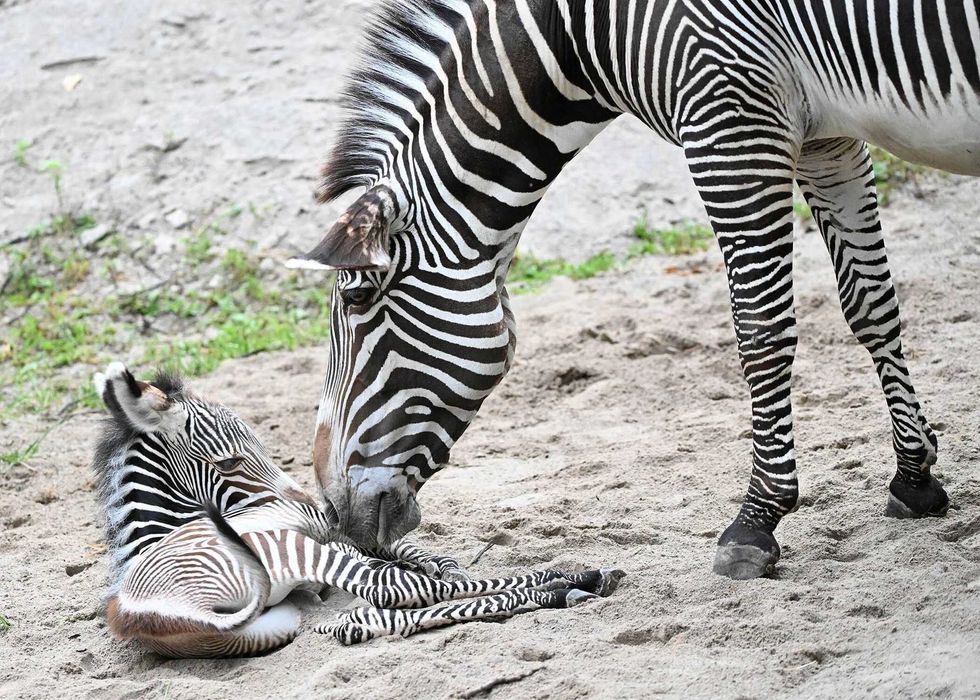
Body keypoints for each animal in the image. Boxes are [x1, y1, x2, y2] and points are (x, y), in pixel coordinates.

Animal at [93, 362, 624, 657]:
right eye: (228, 463)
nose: (321, 514)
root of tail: (148, 615)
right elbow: (408, 577)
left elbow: (421, 559)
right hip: (293, 556)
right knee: (396, 593)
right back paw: (569, 583)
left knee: (397, 598)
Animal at [286, 0, 979, 580]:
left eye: (357, 300)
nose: (332, 512)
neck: (580, 31)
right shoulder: (823, 137)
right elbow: (870, 303)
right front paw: (914, 477)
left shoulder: (731, 124)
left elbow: (760, 329)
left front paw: (757, 518)